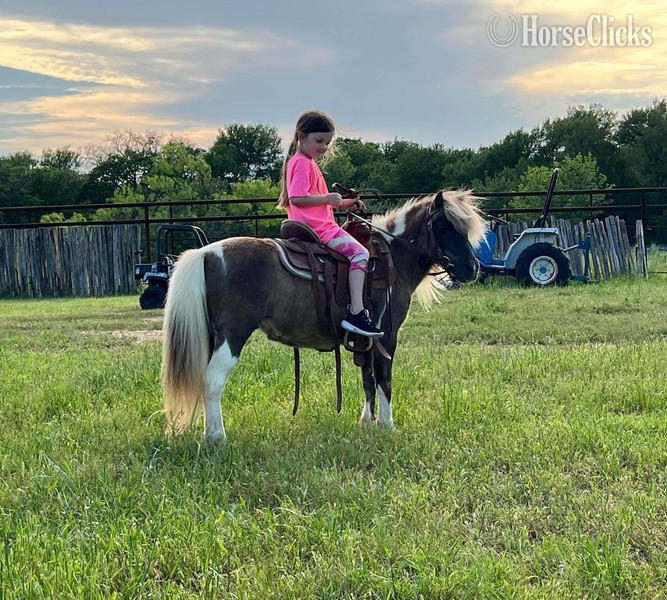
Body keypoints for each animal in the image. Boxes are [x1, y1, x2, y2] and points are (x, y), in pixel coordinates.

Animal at [162, 190, 487, 444]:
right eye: (443, 226)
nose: (472, 268)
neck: (391, 257)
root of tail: (206, 253)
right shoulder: (387, 335)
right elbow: (384, 378)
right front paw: (387, 425)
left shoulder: (367, 338)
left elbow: (367, 378)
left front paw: (366, 422)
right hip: (232, 336)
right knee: (213, 380)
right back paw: (217, 438)